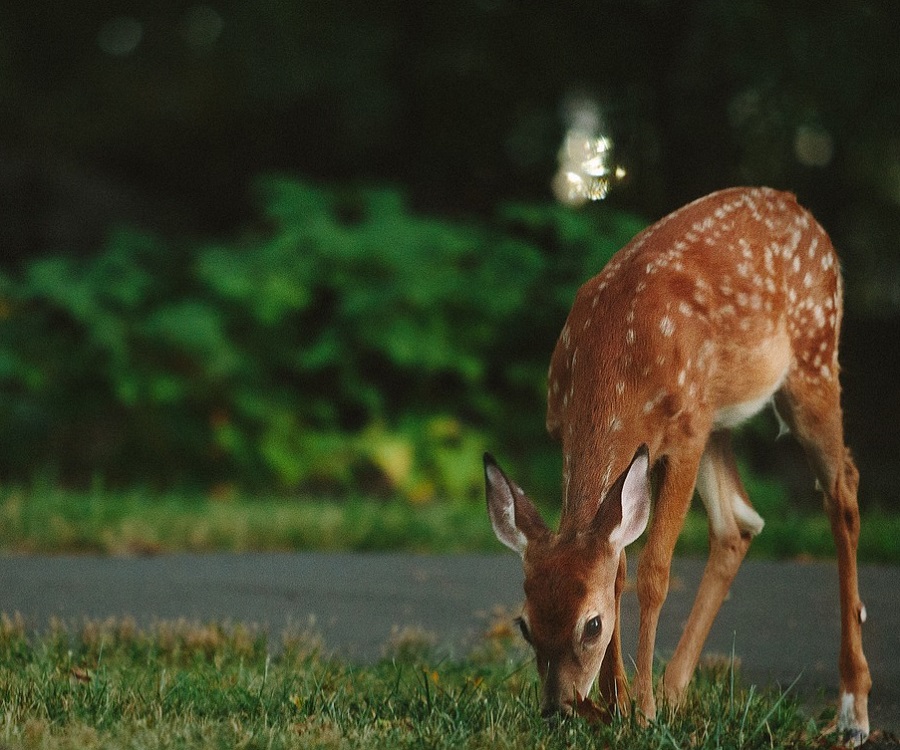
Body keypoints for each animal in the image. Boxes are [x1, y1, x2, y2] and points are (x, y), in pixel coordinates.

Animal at [484, 187, 871, 745]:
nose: (559, 709)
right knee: (738, 522)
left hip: (811, 361)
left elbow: (653, 572)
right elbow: (618, 566)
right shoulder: (576, 433)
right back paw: (674, 692)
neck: (615, 363)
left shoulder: (684, 435)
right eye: (525, 625)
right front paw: (618, 705)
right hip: (719, 417)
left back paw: (853, 710)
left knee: (843, 491)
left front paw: (639, 711)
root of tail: (799, 208)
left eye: (591, 625)